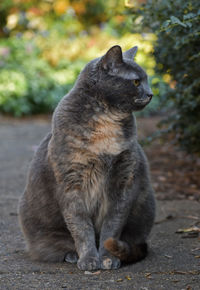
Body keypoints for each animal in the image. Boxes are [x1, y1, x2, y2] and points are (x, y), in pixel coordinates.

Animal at [18, 44, 155, 270]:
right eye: (136, 81)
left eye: (147, 79)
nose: (151, 93)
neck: (107, 123)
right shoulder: (71, 181)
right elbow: (81, 226)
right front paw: (89, 259)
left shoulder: (123, 180)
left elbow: (112, 225)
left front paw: (108, 257)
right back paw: (72, 255)